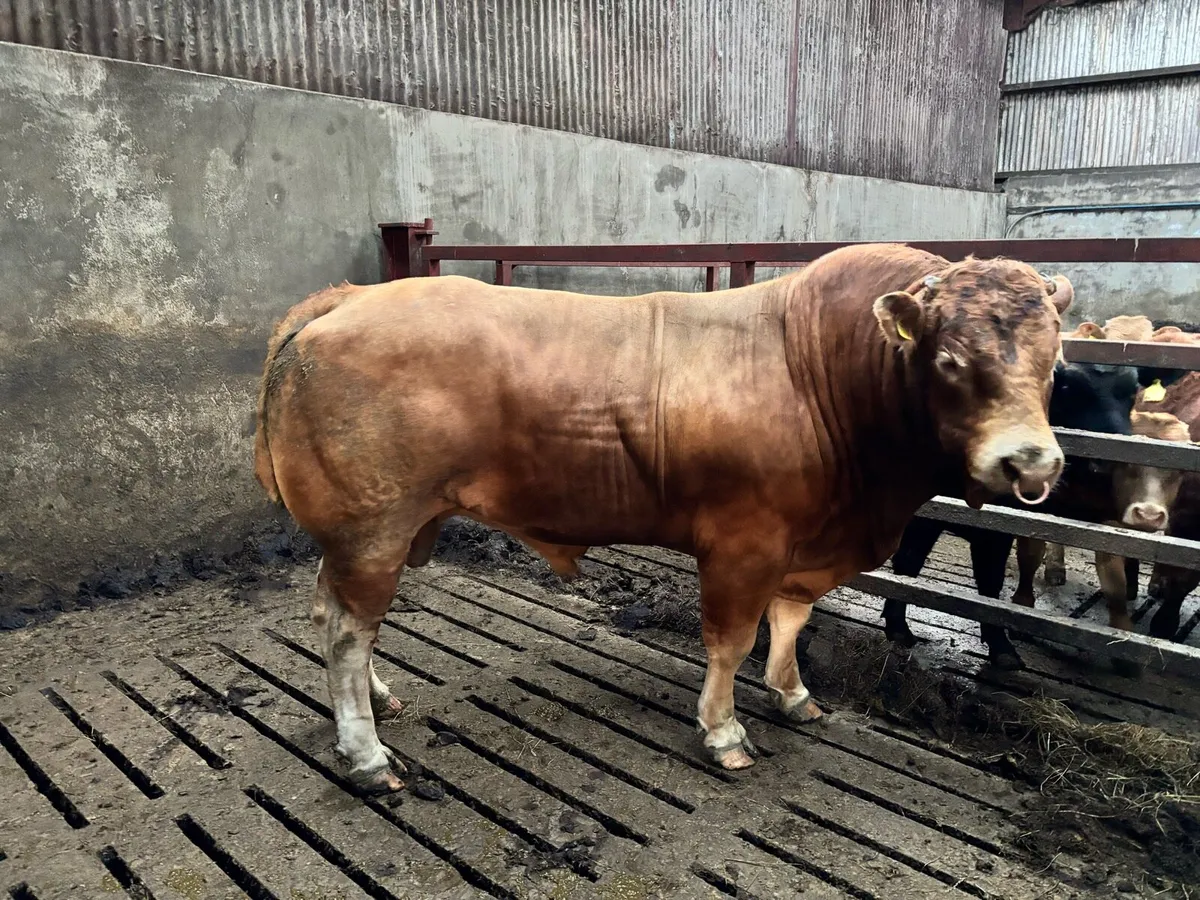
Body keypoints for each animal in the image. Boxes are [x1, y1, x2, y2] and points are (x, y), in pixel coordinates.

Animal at [254, 244, 1072, 791]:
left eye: (1054, 362)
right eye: (950, 360)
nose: (1031, 464)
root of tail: (352, 297)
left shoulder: (804, 544)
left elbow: (791, 620)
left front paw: (793, 694)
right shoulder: (744, 541)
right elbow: (731, 640)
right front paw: (724, 731)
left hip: (363, 539)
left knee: (333, 615)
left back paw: (377, 703)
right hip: (374, 531)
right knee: (350, 631)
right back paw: (366, 755)